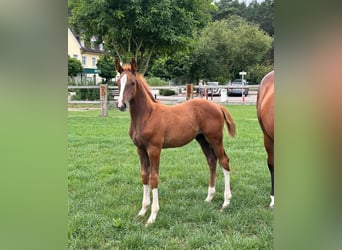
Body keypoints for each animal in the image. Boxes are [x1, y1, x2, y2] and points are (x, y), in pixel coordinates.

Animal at [115, 58, 235, 225]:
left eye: (132, 83)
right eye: (117, 82)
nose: (121, 105)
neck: (146, 115)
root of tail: (217, 106)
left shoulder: (154, 149)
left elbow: (154, 178)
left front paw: (152, 216)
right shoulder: (140, 149)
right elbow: (144, 176)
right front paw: (143, 211)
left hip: (215, 138)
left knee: (224, 161)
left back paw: (226, 202)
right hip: (202, 140)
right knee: (212, 161)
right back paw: (209, 197)